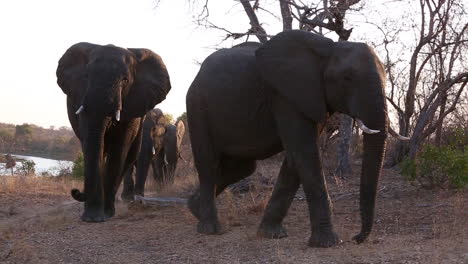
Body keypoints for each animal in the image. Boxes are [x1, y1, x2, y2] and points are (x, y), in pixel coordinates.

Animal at [56, 42, 170, 222]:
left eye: (125, 80)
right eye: (86, 76)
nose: (75, 191)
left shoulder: (132, 105)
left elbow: (120, 146)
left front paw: (105, 214)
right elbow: (91, 143)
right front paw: (92, 218)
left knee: (129, 156)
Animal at [186, 30, 410, 248]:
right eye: (347, 78)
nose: (356, 238)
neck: (328, 49)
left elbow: (295, 159)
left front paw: (271, 234)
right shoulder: (285, 95)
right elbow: (305, 153)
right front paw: (327, 243)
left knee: (241, 168)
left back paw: (194, 208)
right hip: (197, 106)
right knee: (208, 163)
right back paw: (210, 229)